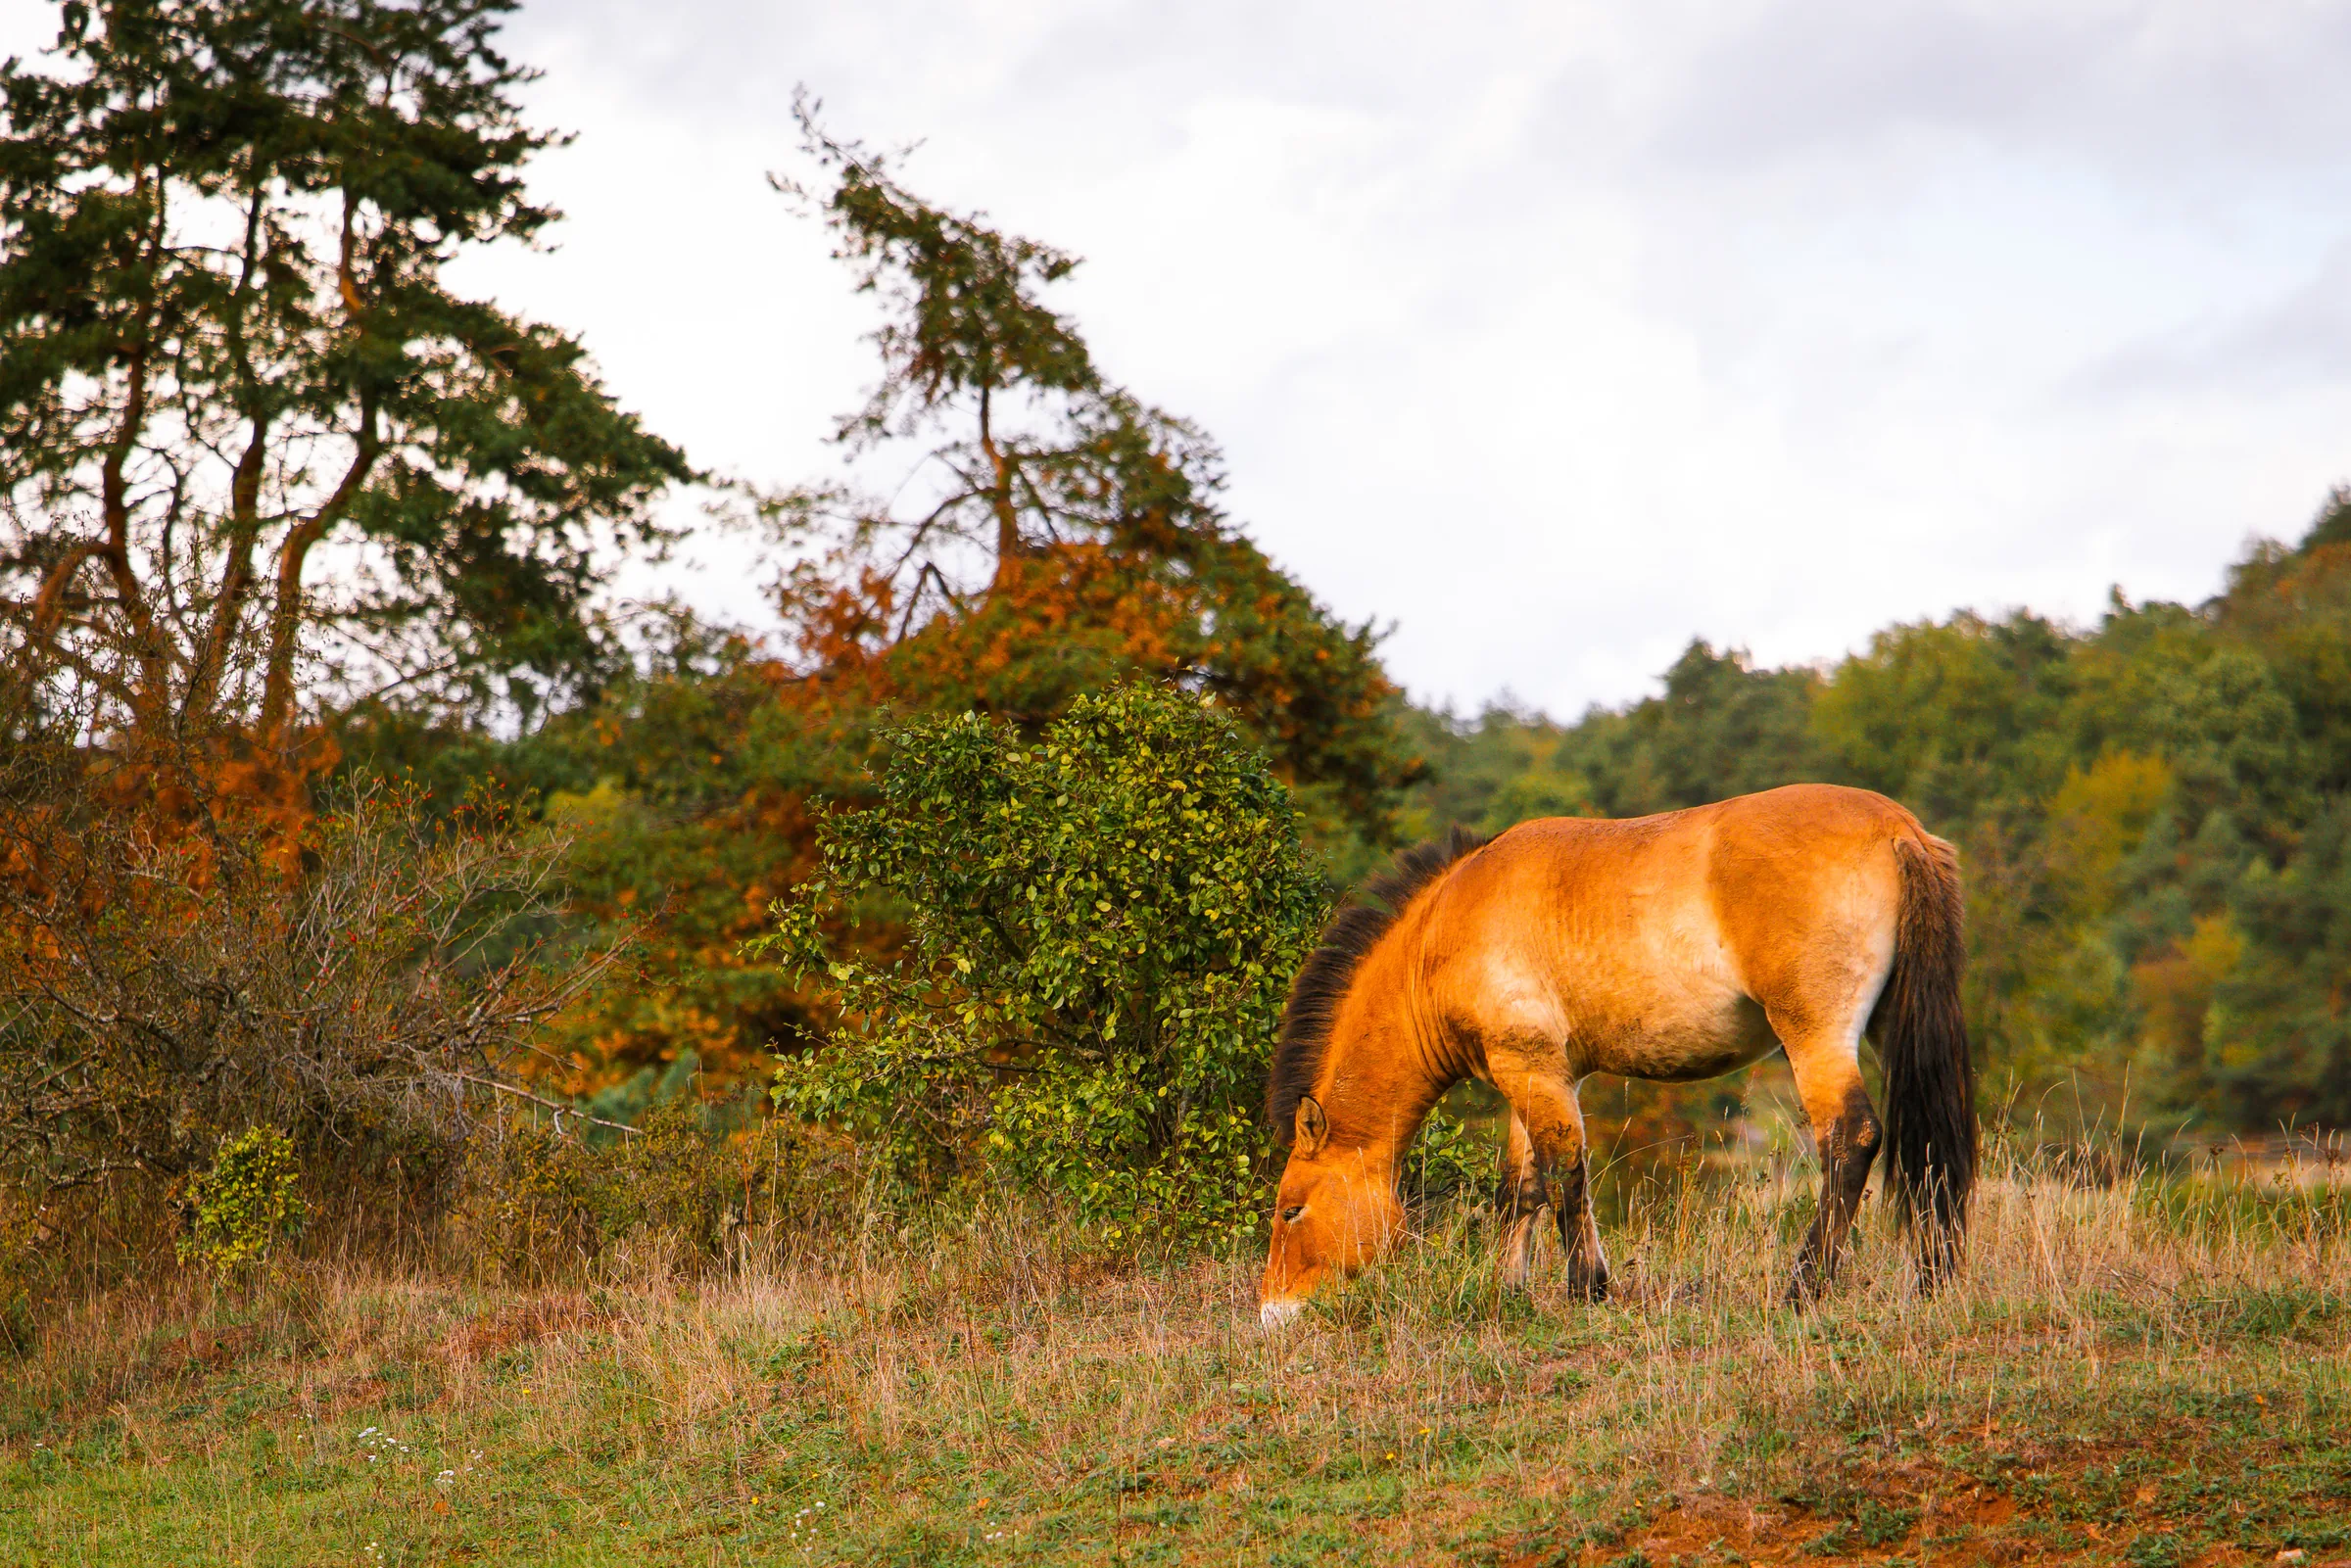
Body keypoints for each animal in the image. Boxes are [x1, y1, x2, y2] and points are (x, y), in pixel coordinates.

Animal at [1257, 783, 1974, 1327]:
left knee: (1852, 1137)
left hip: (1815, 1034)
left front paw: (1587, 1288)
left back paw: (1805, 1286)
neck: (1446, 931)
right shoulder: (1533, 1074)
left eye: (1292, 1207)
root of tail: (1897, 827)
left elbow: (1565, 1173)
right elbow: (1521, 1188)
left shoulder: (1532, 1070)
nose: (1270, 1313)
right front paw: (1507, 1288)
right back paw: (1933, 1278)